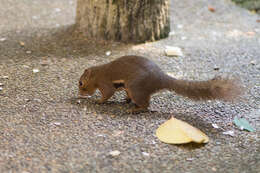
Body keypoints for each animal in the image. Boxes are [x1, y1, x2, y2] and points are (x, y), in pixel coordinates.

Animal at [78, 54, 243, 113]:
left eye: (80, 83)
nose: (79, 95)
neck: (97, 73)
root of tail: (161, 78)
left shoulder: (105, 83)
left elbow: (108, 93)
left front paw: (99, 101)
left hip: (135, 88)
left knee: (146, 105)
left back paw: (136, 110)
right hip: (131, 88)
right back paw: (128, 102)